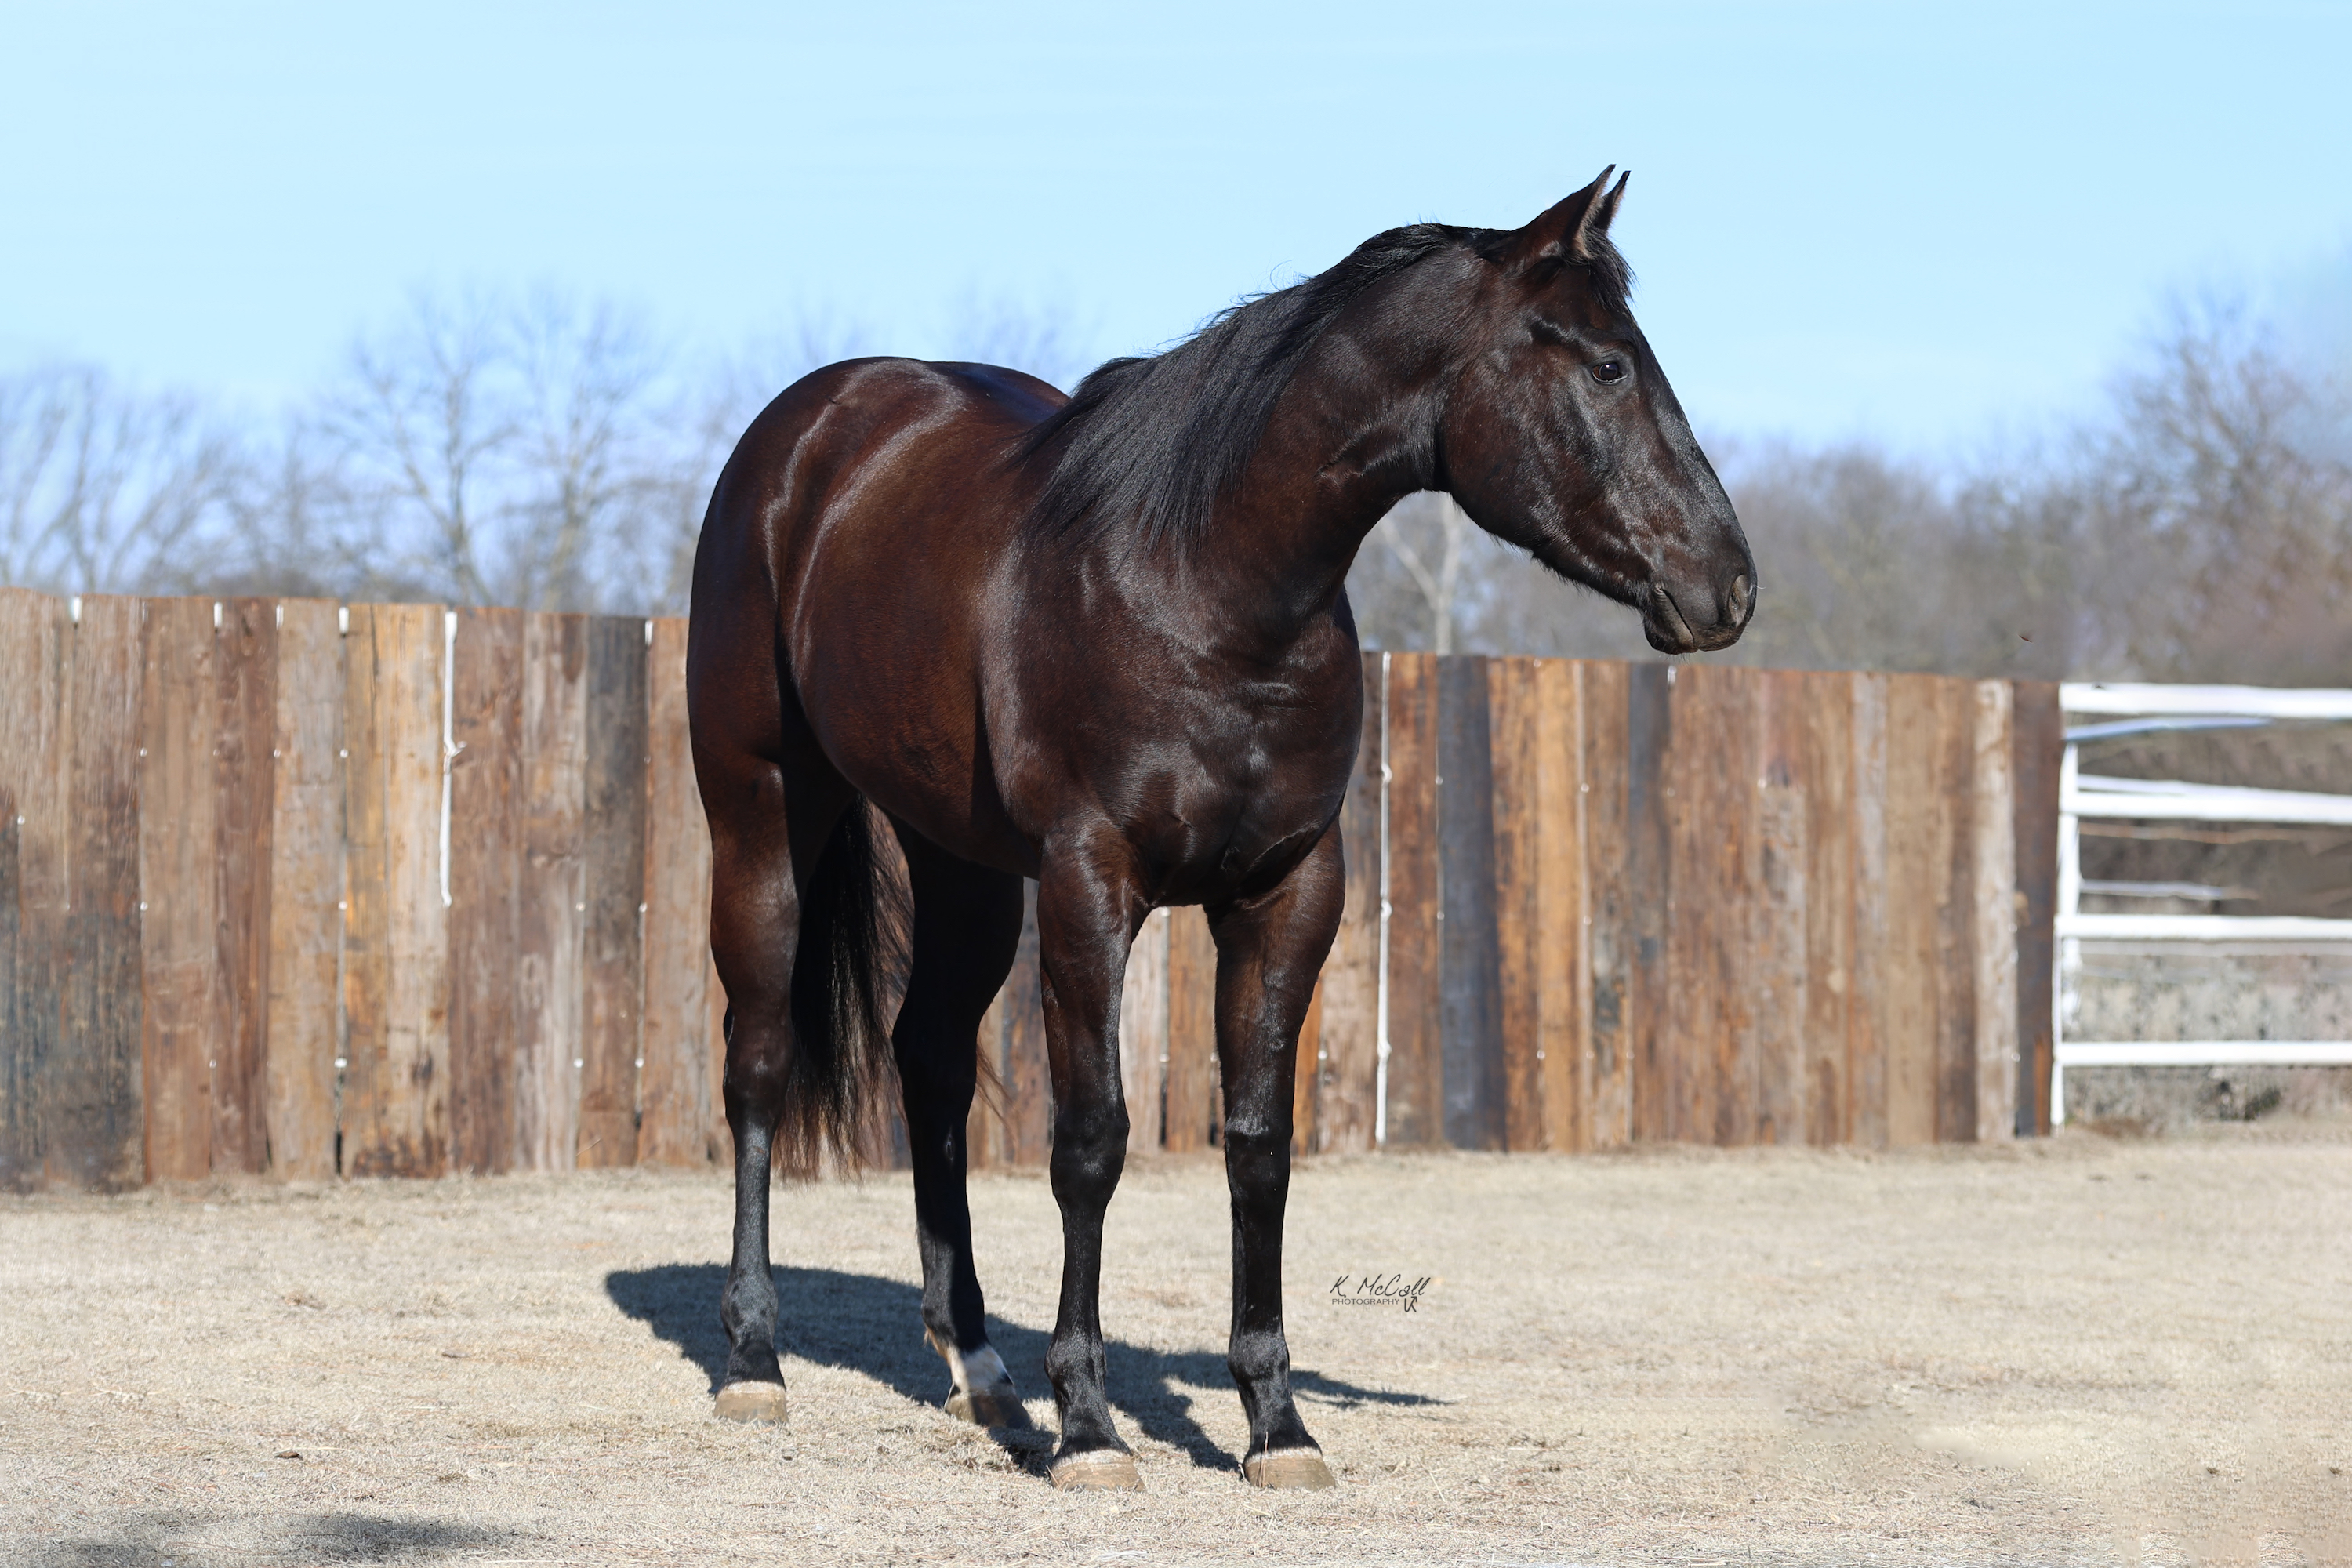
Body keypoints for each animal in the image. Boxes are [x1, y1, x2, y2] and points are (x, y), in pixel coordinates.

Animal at [684, 167, 1755, 1491]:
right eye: (1609, 365)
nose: (1728, 584)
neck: (1205, 582)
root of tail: (811, 432)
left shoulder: (1289, 896)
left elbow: (1257, 1143)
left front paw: (1275, 1423)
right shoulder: (1091, 885)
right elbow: (1093, 1142)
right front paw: (1091, 1427)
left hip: (965, 867)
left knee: (929, 1059)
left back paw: (980, 1370)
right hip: (763, 815)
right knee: (760, 1061)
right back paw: (755, 1360)